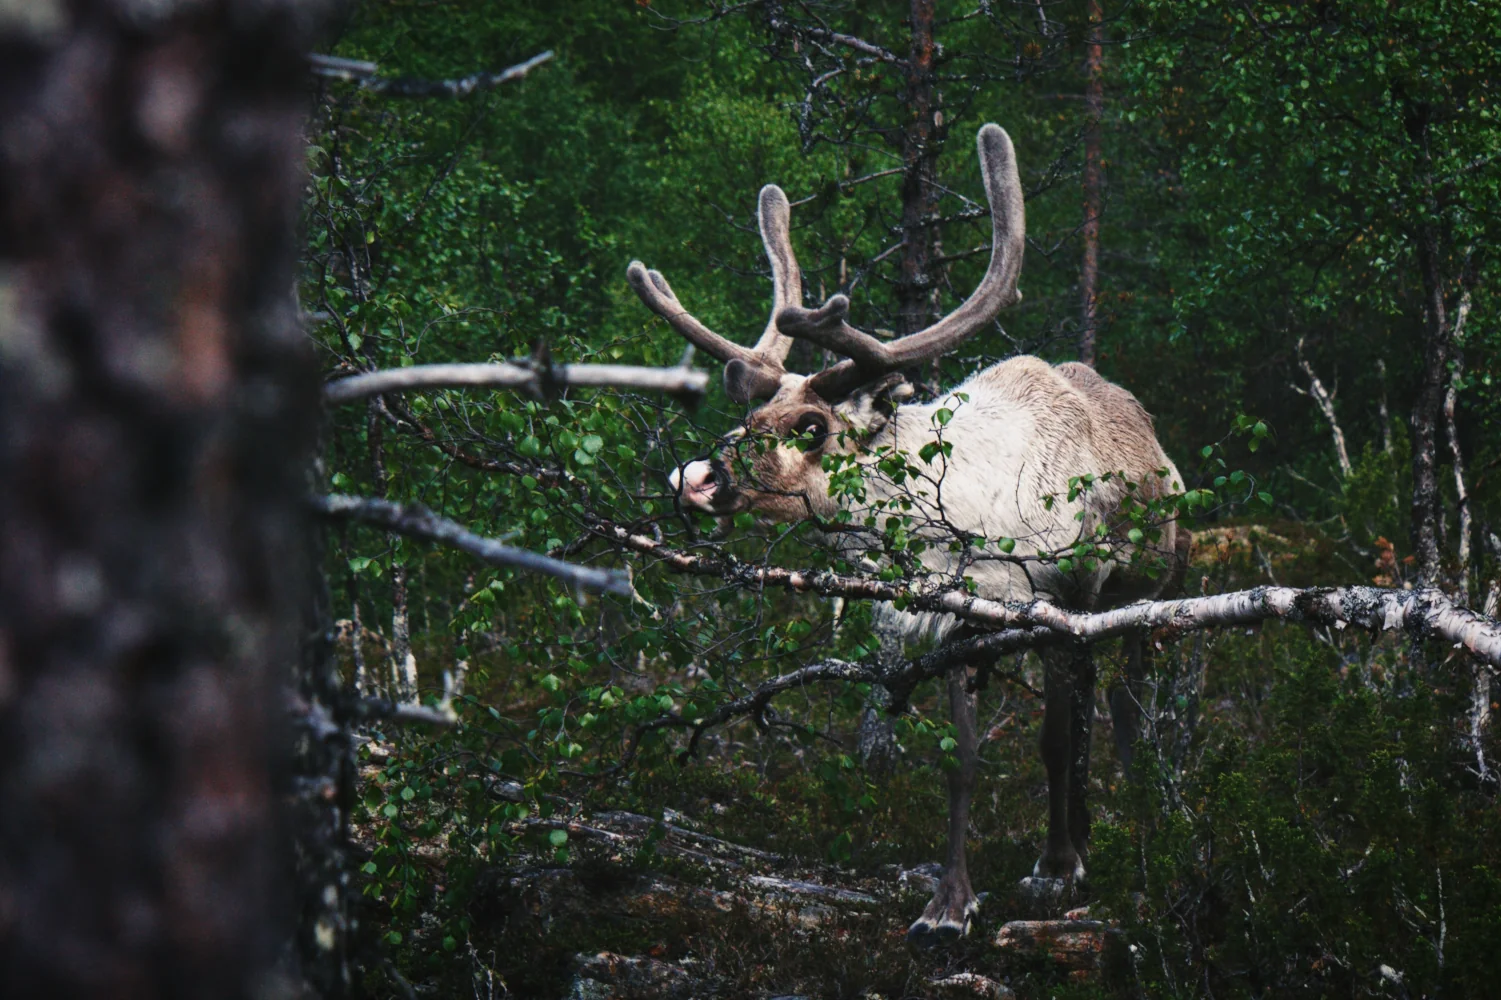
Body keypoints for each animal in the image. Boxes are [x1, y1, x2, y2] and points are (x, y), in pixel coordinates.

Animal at [627, 123, 1187, 946]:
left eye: (811, 426)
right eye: (750, 414)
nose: (696, 476)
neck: (962, 512)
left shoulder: (1058, 601)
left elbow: (1055, 739)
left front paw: (1056, 867)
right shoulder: (955, 618)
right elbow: (962, 758)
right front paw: (949, 904)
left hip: (1149, 592)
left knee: (1126, 710)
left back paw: (1132, 826)